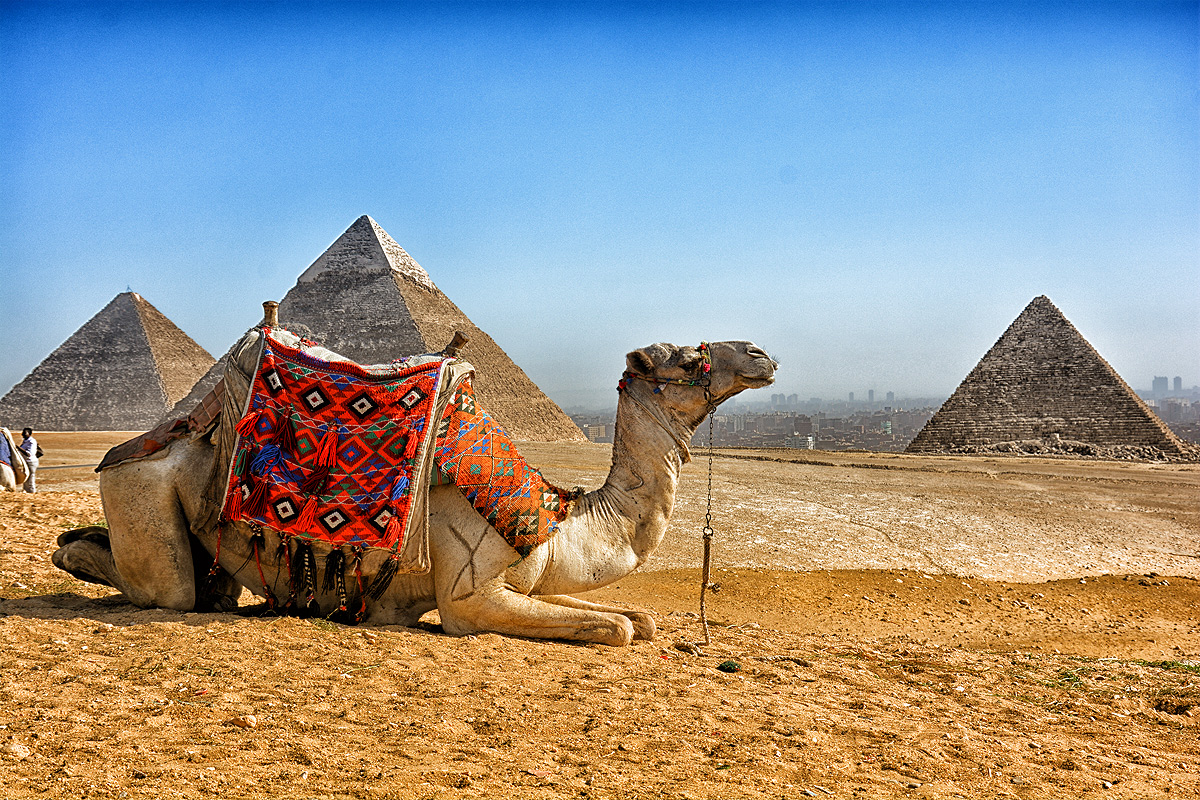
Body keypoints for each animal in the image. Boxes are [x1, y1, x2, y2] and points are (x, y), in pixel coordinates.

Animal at [51, 328, 772, 647]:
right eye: (692, 357)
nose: (761, 354)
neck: (561, 519)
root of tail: (128, 446)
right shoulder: (470, 598)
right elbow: (617, 630)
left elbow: (634, 619)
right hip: (143, 489)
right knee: (166, 589)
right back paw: (71, 551)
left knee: (210, 589)